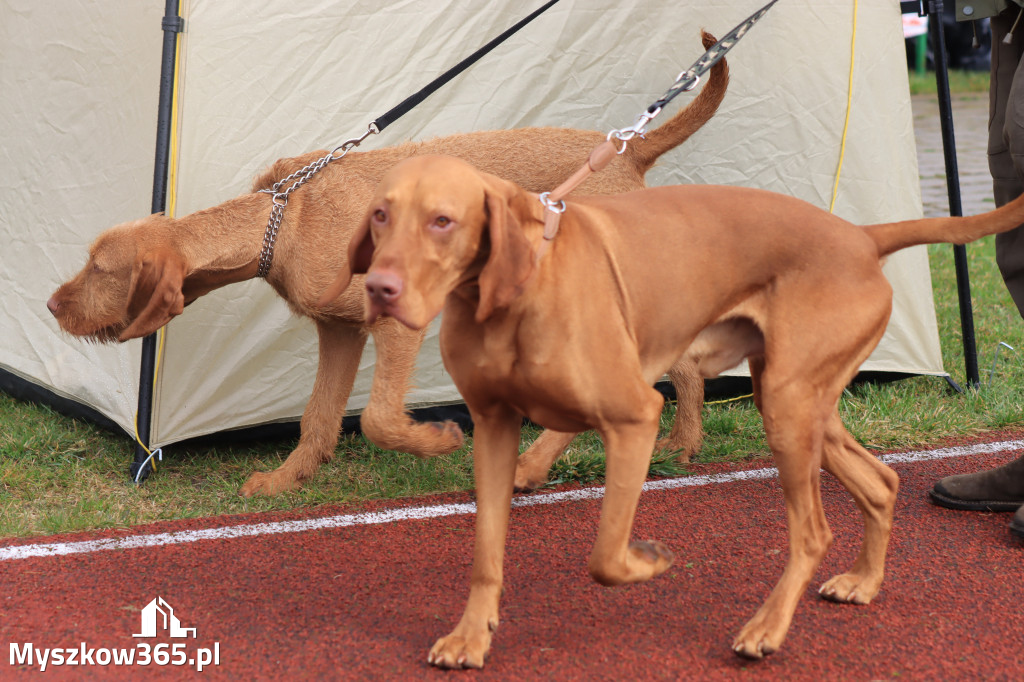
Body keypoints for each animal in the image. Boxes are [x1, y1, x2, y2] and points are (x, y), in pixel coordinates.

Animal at [44, 31, 724, 493]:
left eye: (101, 268)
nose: (50, 305)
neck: (283, 220)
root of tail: (631, 152)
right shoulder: (340, 331)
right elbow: (318, 419)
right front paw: (285, 481)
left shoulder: (398, 324)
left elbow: (375, 419)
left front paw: (435, 441)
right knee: (669, 368)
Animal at [321, 152, 1024, 663]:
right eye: (380, 214)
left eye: (442, 220)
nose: (379, 288)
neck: (510, 294)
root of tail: (860, 235)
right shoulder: (494, 429)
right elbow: (487, 553)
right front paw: (472, 635)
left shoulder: (635, 417)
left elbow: (606, 555)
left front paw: (649, 561)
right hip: (798, 402)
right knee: (880, 482)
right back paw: (864, 582)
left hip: (790, 409)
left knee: (813, 531)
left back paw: (767, 628)